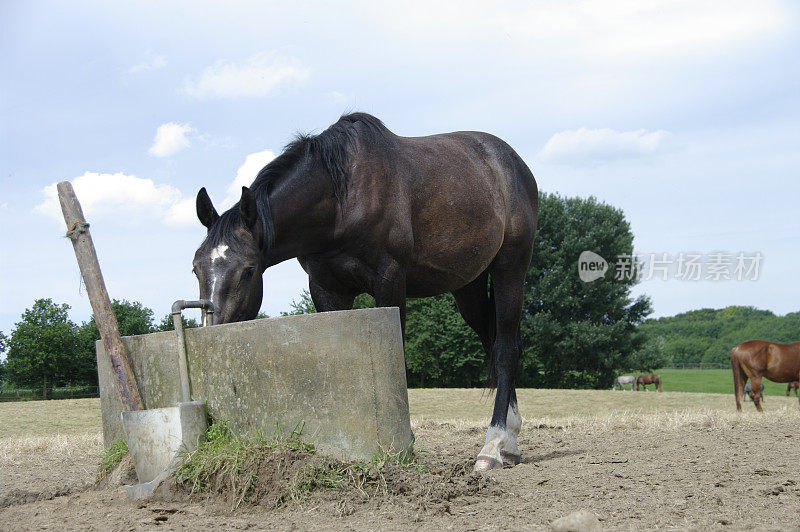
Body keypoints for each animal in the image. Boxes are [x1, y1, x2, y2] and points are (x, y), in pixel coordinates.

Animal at [190, 112, 536, 470]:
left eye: (248, 270)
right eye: (196, 267)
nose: (210, 332)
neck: (341, 201)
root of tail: (511, 162)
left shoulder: (390, 281)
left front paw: (405, 443)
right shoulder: (327, 289)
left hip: (511, 267)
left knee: (506, 348)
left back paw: (493, 445)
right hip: (468, 286)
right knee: (492, 343)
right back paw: (510, 442)